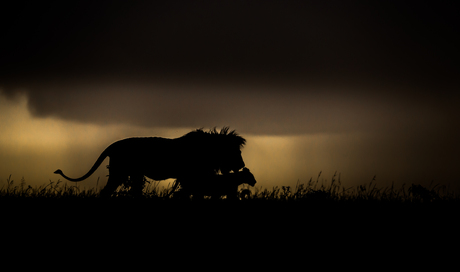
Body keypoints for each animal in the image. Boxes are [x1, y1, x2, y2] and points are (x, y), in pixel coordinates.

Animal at [54, 127, 246, 198]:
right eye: (235, 152)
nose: (242, 165)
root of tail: (114, 145)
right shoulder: (190, 177)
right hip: (120, 173)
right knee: (106, 192)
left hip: (133, 175)